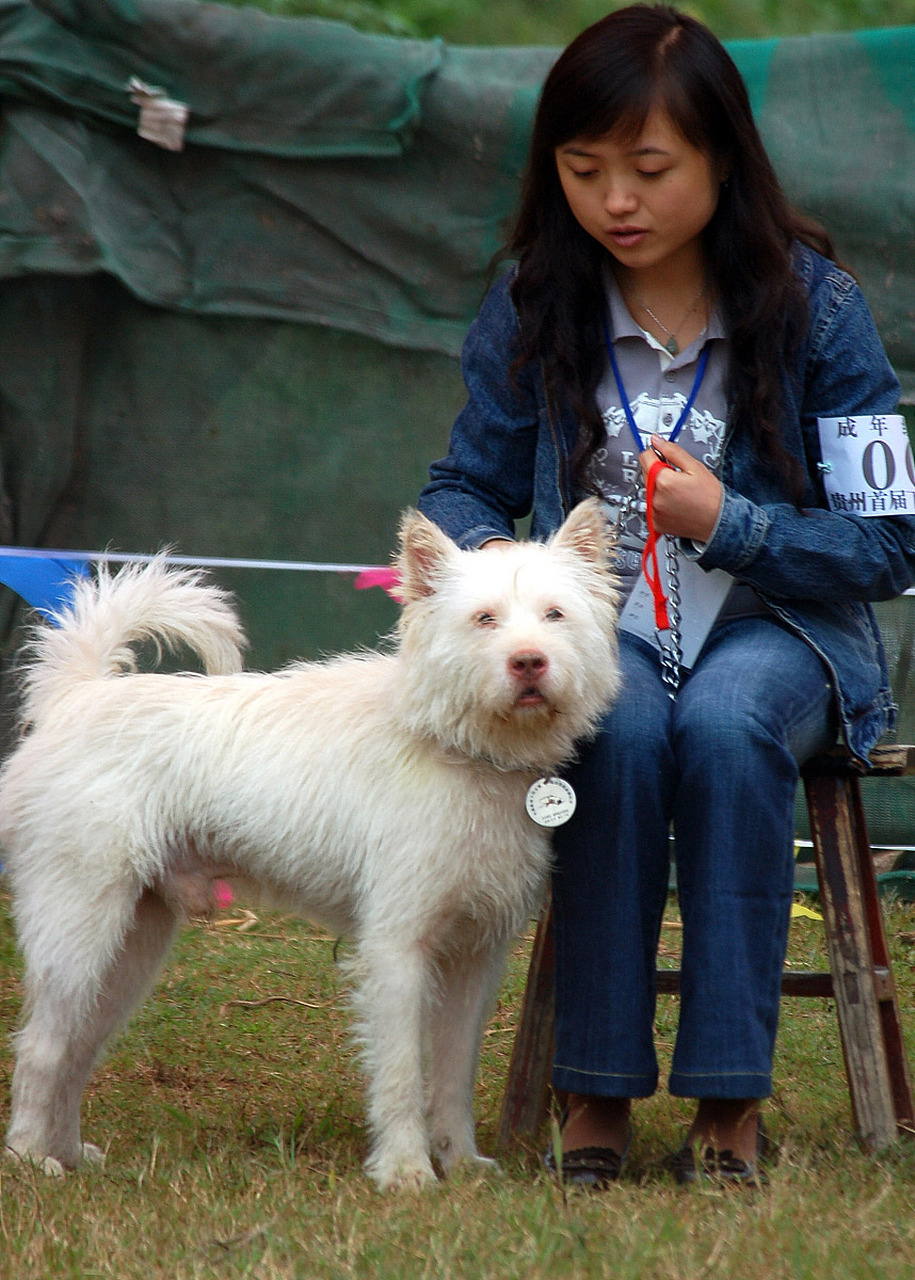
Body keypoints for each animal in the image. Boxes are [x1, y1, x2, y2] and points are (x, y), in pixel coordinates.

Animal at [1, 499, 621, 1187]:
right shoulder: (396, 951)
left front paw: (460, 1163)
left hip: (129, 945)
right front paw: (406, 1170)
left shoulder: (474, 960)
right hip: (77, 930)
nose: (529, 662)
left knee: (77, 1049)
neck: (463, 747)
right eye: (485, 619)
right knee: (42, 1048)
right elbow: (401, 1073)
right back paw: (29, 1157)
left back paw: (67, 1152)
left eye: (555, 614)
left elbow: (452, 1076)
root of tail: (76, 696)